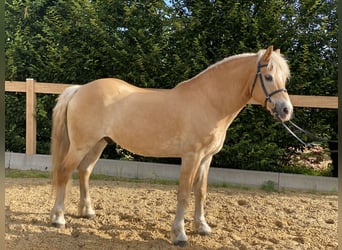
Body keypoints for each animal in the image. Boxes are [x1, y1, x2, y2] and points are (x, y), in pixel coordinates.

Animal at [50, 45, 292, 246]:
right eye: (268, 76)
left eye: (284, 78)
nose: (286, 110)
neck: (209, 102)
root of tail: (80, 89)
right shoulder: (191, 157)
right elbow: (184, 193)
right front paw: (180, 235)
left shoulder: (206, 158)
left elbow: (201, 191)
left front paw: (202, 226)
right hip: (81, 145)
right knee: (65, 171)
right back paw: (58, 218)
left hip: (98, 143)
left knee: (84, 171)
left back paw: (87, 211)